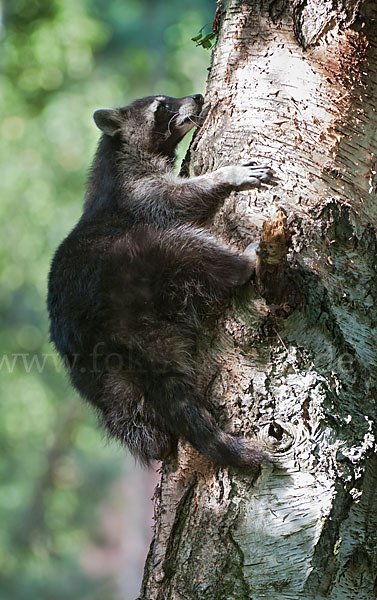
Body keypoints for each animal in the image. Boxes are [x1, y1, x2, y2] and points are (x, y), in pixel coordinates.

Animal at [48, 92, 274, 468]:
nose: (198, 96)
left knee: (144, 434)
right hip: (139, 261)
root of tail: (107, 333)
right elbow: (181, 199)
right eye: (161, 105)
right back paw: (241, 263)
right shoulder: (139, 193)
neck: (117, 157)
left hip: (105, 386)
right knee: (187, 247)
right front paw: (224, 176)